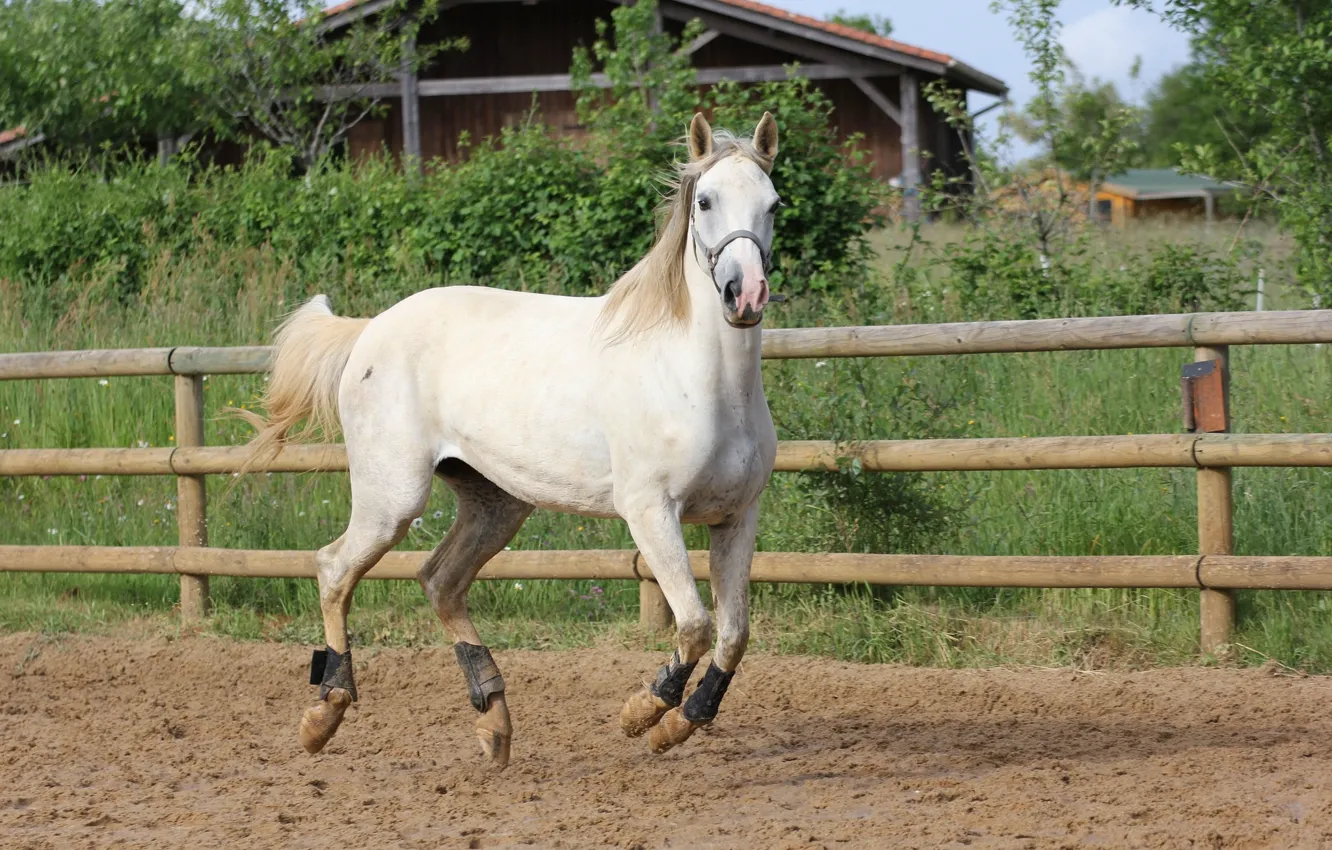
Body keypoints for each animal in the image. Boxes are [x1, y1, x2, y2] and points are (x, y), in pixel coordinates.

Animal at [244, 112, 781, 768]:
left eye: (774, 204)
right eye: (705, 201)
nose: (745, 295)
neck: (700, 381)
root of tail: (371, 328)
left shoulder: (736, 517)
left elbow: (733, 635)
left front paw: (680, 724)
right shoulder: (651, 512)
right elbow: (696, 625)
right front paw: (643, 713)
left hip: (496, 502)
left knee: (440, 580)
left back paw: (494, 721)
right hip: (393, 497)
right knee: (334, 568)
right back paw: (325, 712)